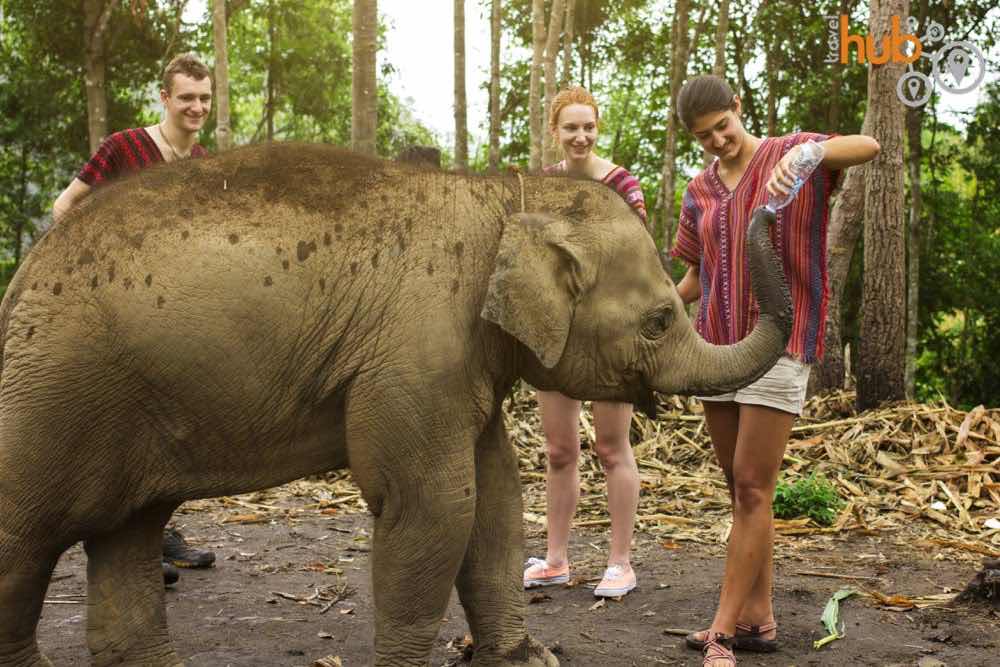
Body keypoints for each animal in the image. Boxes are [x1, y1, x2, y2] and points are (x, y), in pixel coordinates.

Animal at [0, 145, 792, 667]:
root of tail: (24, 274)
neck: (504, 197)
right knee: (25, 536)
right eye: (659, 320)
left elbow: (496, 498)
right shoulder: (418, 345)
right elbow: (432, 503)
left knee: (126, 536)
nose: (777, 196)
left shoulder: (461, 361)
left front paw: (522, 658)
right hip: (53, 391)